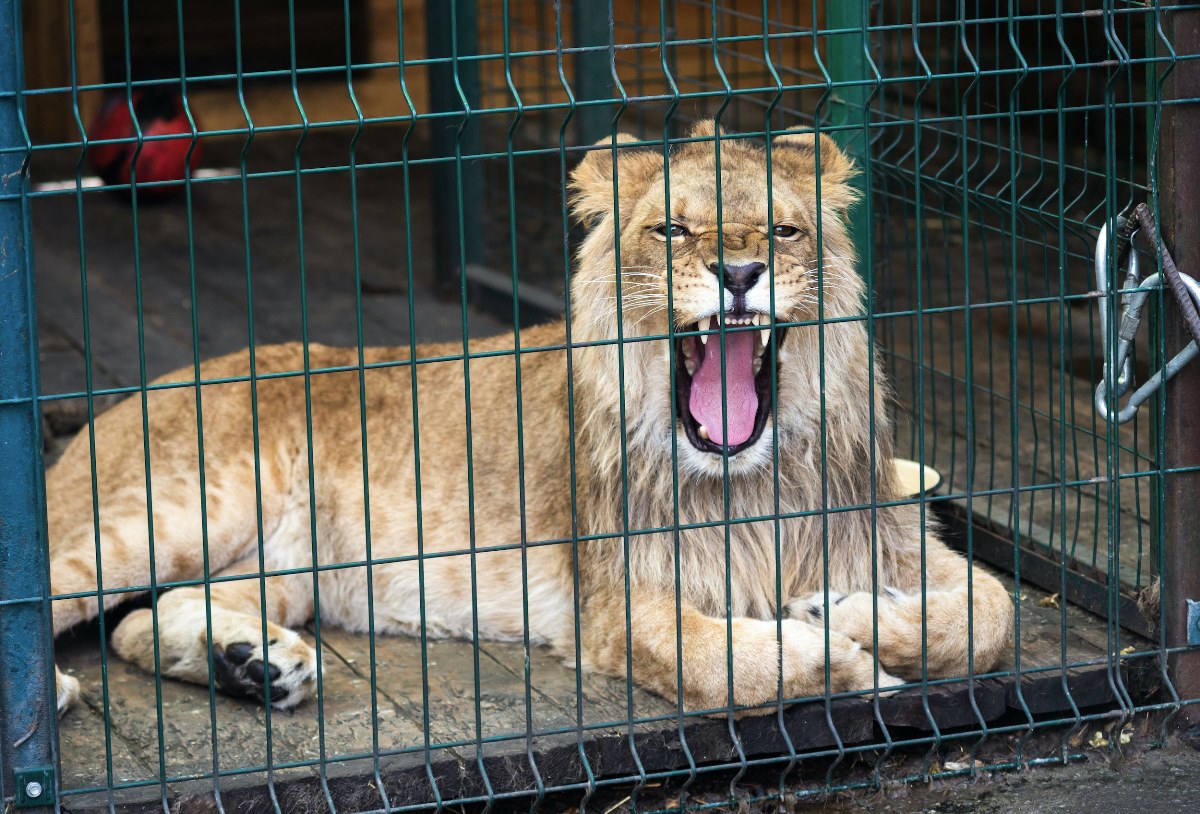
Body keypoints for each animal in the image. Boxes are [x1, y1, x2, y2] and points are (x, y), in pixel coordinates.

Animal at [49, 124, 1012, 715]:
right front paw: (842, 660)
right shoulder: (619, 605)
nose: (739, 273)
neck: (751, 476)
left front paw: (842, 611)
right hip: (165, 515)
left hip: (284, 567)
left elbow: (987, 617)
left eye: (782, 232)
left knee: (143, 621)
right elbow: (728, 662)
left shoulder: (891, 534)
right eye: (671, 231)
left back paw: (252, 663)